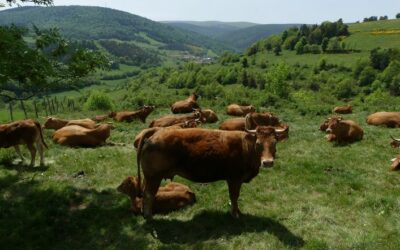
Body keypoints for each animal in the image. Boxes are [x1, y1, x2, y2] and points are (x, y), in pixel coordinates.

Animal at [138, 115, 288, 219]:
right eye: (258, 143)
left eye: (274, 143)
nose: (268, 162)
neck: (246, 146)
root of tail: (155, 134)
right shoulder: (234, 179)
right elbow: (234, 196)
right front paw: (235, 214)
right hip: (154, 177)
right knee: (149, 194)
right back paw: (149, 216)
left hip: (148, 177)